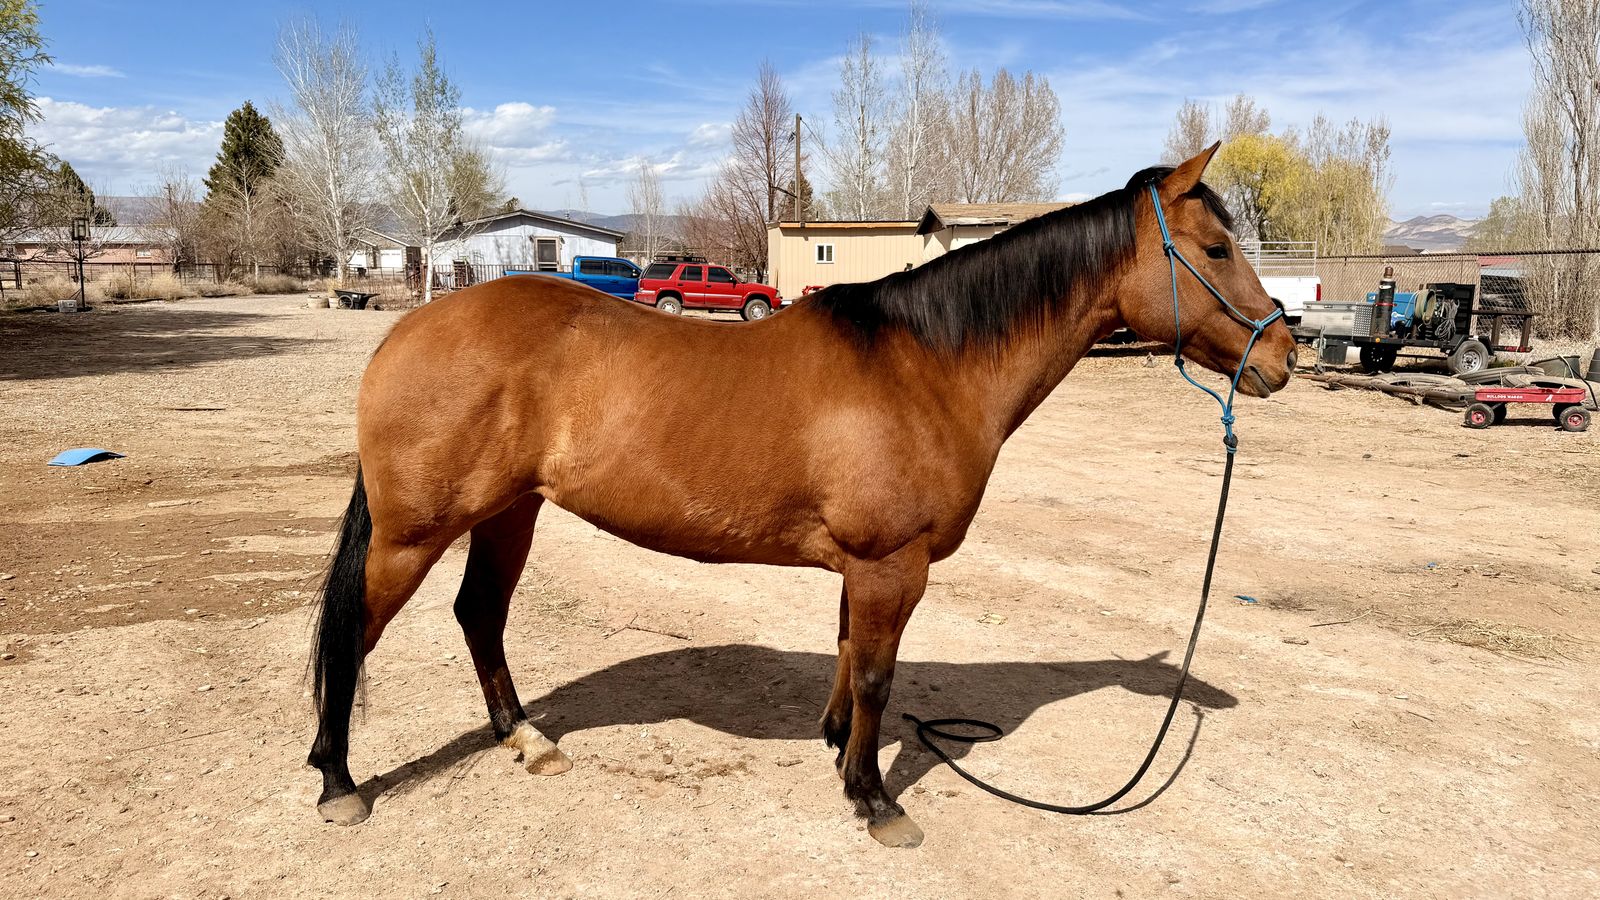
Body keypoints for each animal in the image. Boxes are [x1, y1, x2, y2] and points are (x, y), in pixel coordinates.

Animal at [305, 145, 1296, 848]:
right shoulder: (892, 563)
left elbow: (849, 654)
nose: (1284, 355)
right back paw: (338, 782)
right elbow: (879, 671)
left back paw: (524, 738)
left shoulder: (865, 567)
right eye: (1215, 249)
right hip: (414, 531)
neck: (926, 364)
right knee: (357, 630)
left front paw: (836, 748)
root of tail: (410, 329)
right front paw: (874, 799)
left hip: (511, 512)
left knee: (480, 613)